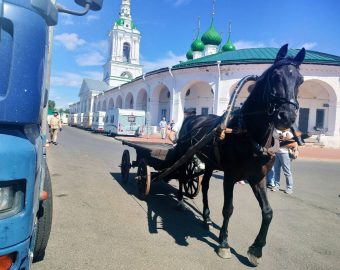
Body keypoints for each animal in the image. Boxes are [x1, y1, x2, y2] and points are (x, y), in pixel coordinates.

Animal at [175, 44, 306, 266]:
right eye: (276, 75)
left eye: (300, 80)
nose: (286, 116)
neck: (249, 135)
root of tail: (193, 118)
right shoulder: (230, 177)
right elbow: (228, 209)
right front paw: (223, 243)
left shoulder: (258, 179)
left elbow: (268, 212)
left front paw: (256, 249)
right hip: (186, 156)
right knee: (183, 176)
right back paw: (180, 201)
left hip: (210, 164)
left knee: (205, 186)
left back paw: (206, 217)